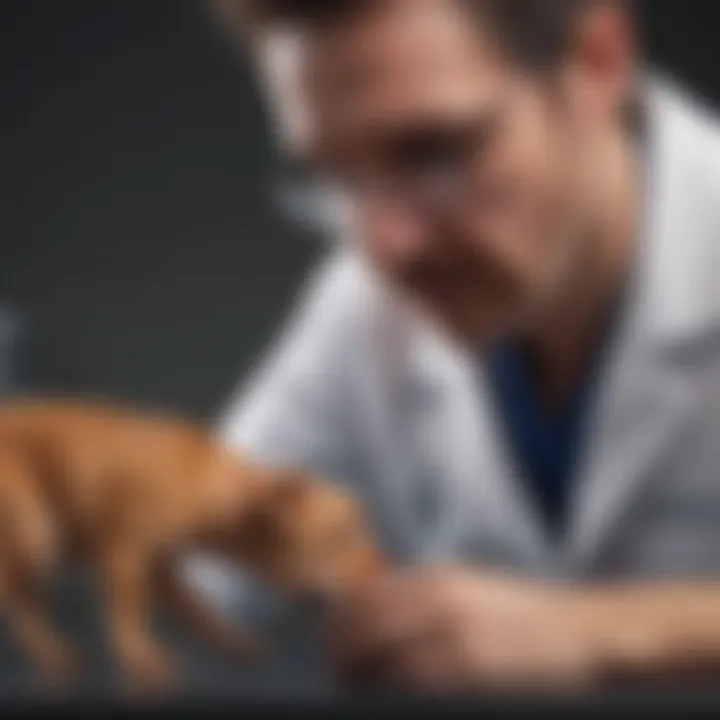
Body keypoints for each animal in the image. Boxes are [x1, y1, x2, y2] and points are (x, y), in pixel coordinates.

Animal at [0, 396, 382, 688]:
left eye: (363, 527)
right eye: (336, 536)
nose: (380, 568)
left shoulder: (161, 568)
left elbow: (200, 612)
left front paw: (232, 642)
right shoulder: (125, 556)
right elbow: (128, 614)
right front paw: (141, 660)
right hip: (37, 532)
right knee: (19, 598)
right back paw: (50, 651)